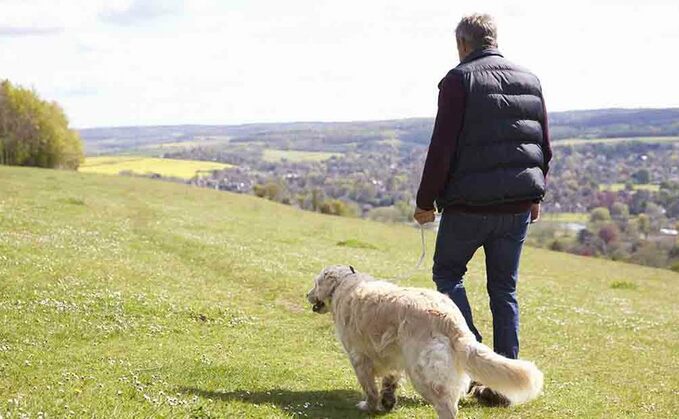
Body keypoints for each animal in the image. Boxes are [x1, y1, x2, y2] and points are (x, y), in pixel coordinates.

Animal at [308, 268, 540, 418]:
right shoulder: (393, 355)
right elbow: (390, 381)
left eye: (315, 283)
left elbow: (370, 388)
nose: (307, 295)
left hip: (421, 374)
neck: (344, 284)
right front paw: (388, 401)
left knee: (447, 407)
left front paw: (368, 406)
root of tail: (450, 319)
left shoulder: (359, 357)